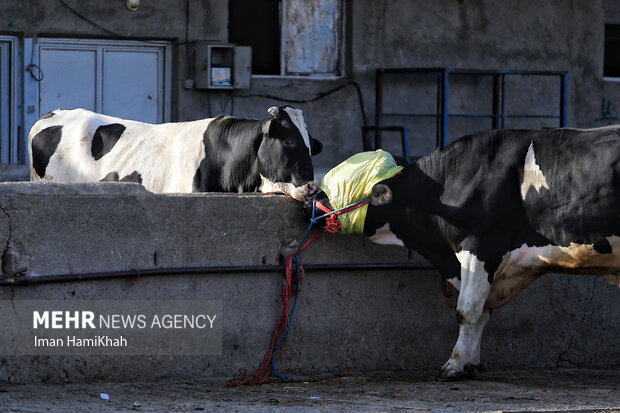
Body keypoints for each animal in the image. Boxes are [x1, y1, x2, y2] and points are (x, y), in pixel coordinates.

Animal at [306, 125, 620, 380]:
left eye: (338, 187)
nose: (310, 197)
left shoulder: (479, 247)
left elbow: (467, 311)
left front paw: (453, 366)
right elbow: (482, 313)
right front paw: (470, 364)